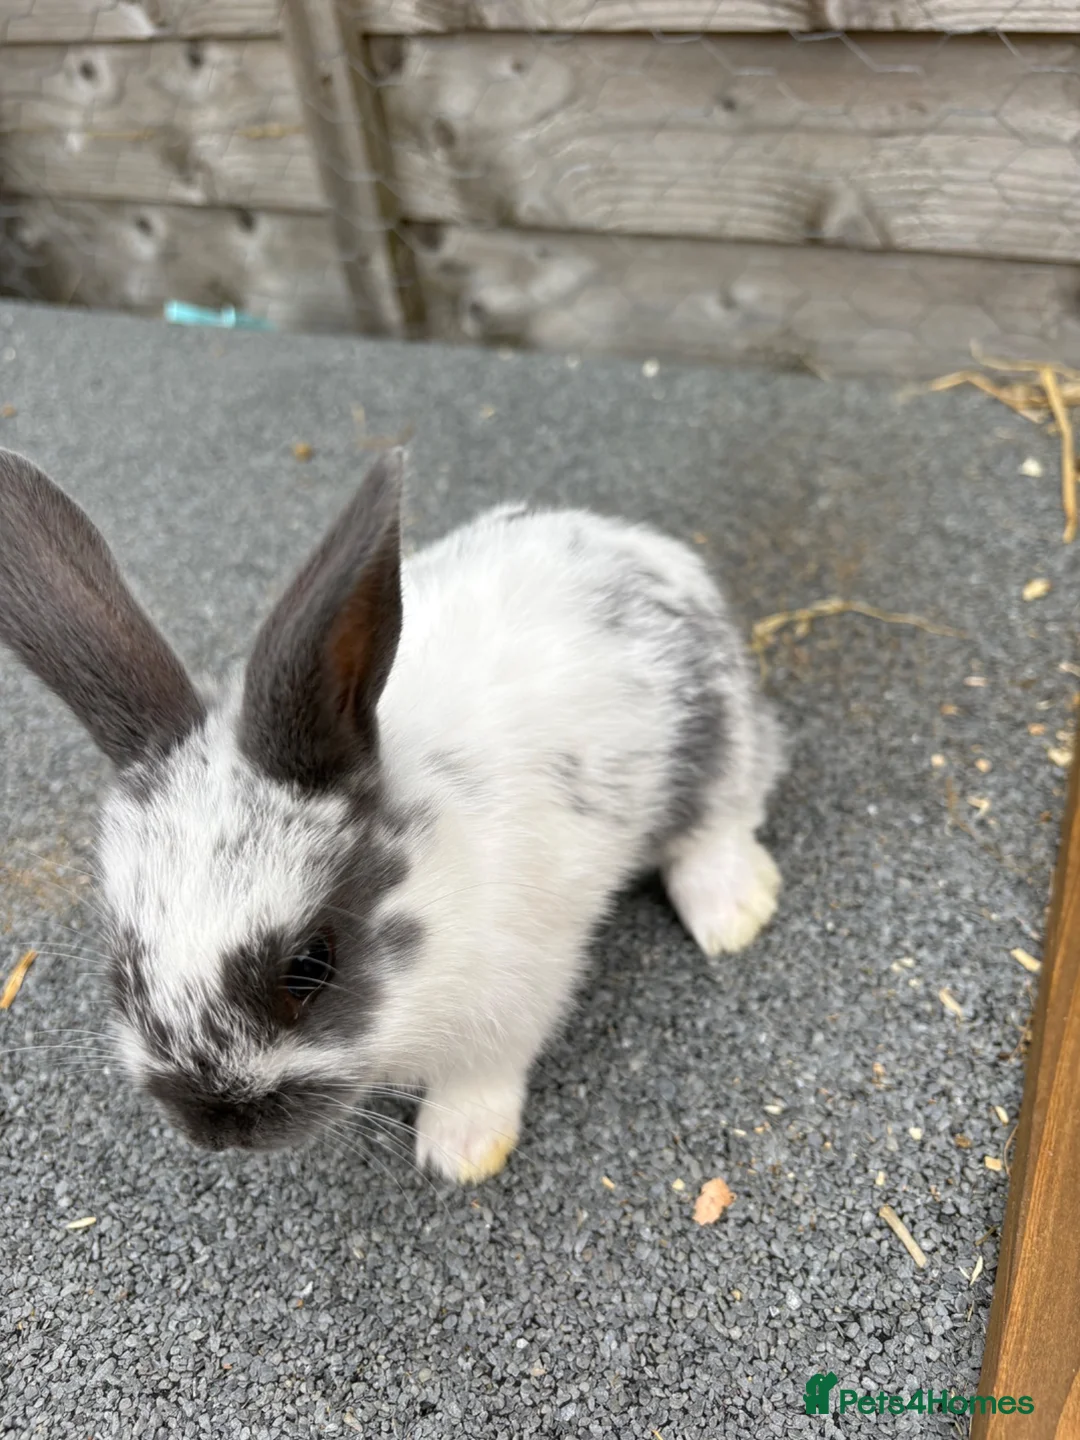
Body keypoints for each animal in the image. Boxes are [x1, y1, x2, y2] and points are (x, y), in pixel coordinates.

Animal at [0, 445, 783, 1184]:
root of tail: (641, 546)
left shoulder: (518, 991)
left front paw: (459, 1154)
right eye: (123, 970)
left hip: (716, 743)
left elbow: (482, 1076)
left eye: (310, 967)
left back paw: (733, 916)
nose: (217, 1121)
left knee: (727, 816)